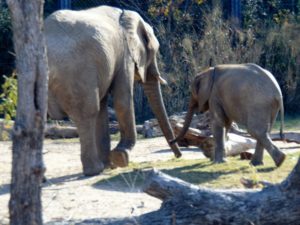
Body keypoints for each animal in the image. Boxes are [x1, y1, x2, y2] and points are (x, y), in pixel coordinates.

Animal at [44, 4, 180, 176]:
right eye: (154, 52)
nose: (178, 156)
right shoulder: (125, 55)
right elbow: (122, 101)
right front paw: (120, 157)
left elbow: (103, 108)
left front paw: (110, 165)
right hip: (76, 73)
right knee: (87, 114)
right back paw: (94, 170)